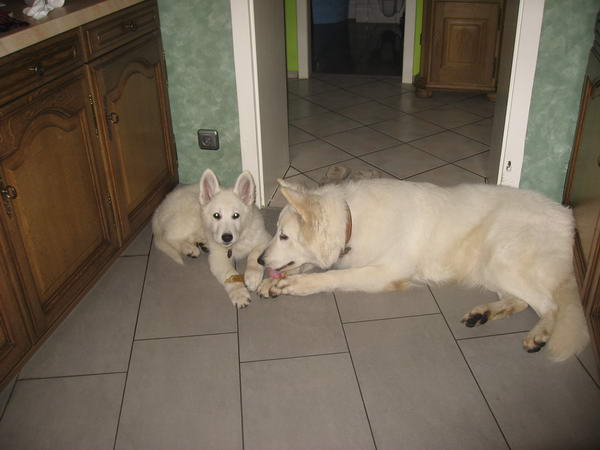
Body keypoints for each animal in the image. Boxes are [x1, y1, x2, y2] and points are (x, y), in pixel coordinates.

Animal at [198, 169, 270, 308]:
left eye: (236, 215)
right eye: (216, 215)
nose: (227, 237)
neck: (236, 244)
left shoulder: (265, 239)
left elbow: (254, 254)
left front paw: (252, 276)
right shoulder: (217, 258)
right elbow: (230, 273)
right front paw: (239, 294)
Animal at [257, 178, 590, 360]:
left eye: (283, 236)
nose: (259, 260)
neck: (352, 220)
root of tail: (567, 217)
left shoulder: (385, 272)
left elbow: (335, 275)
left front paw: (297, 285)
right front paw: (271, 282)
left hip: (501, 258)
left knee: (550, 305)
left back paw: (540, 334)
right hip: (491, 269)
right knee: (520, 301)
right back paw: (483, 313)